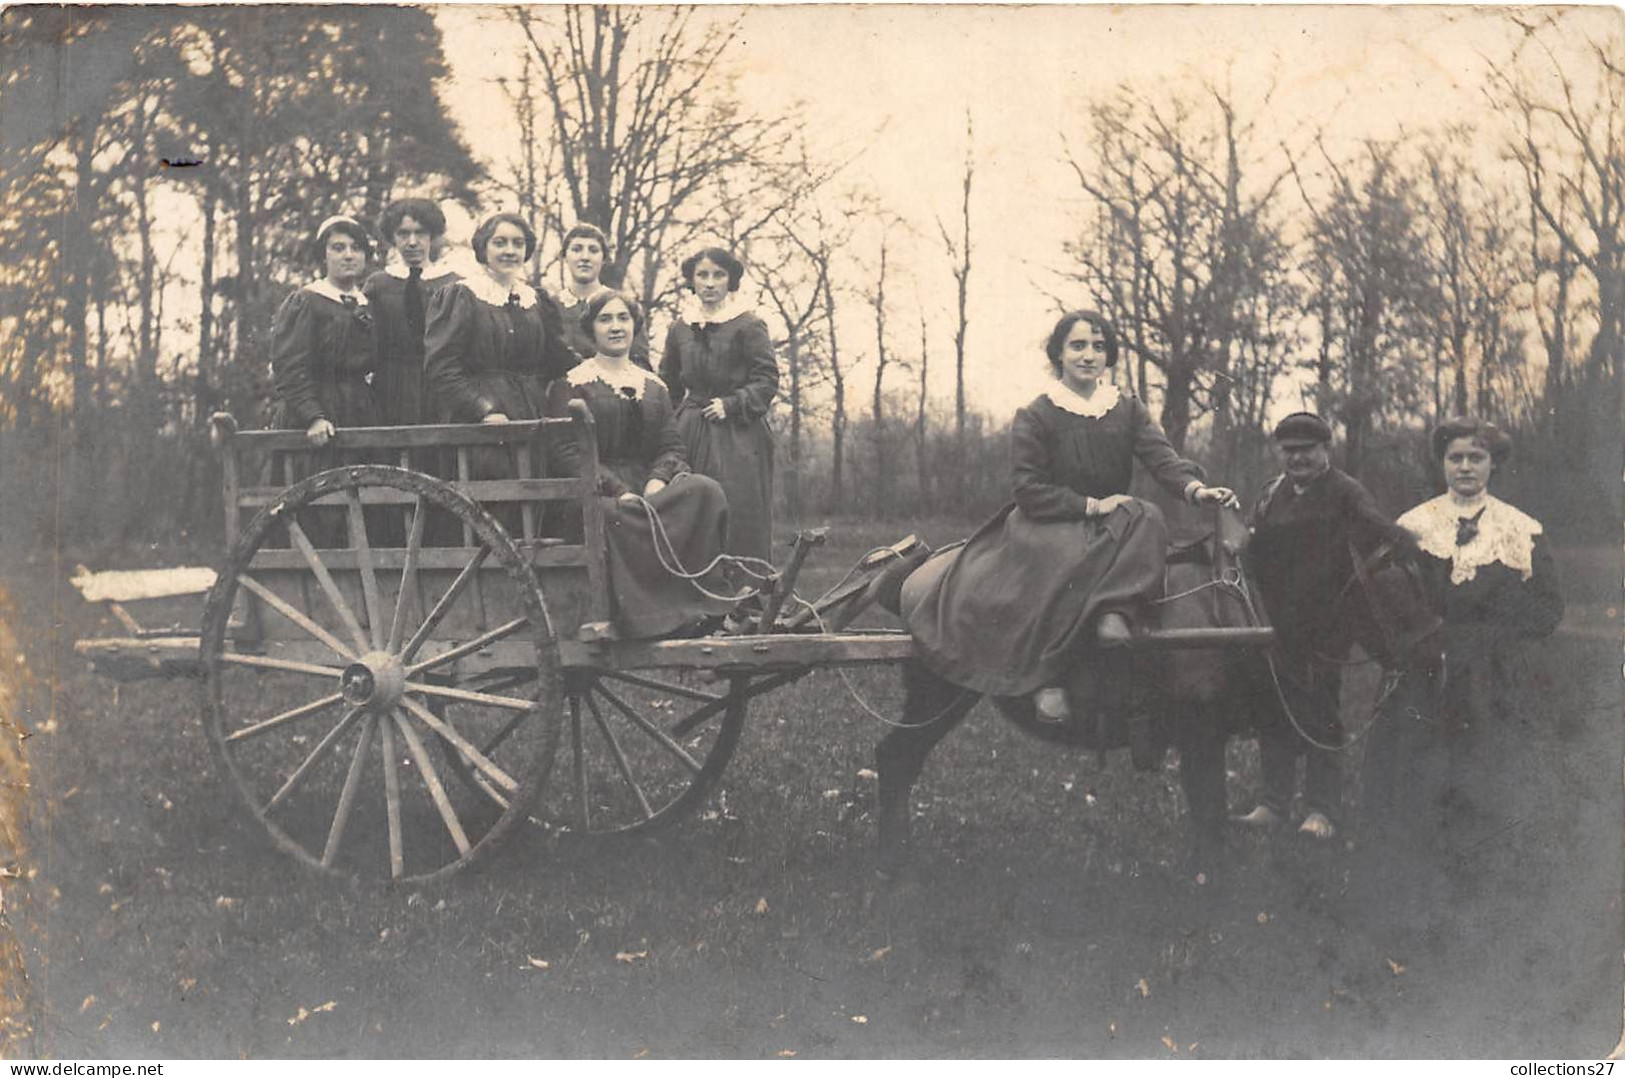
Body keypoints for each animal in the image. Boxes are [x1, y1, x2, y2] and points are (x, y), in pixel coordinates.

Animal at [877, 507, 1436, 878]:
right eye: (1398, 583)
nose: (1436, 659)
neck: (1242, 606)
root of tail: (920, 570)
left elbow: (1210, 812)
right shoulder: (1200, 734)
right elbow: (1209, 812)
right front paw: (1209, 884)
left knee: (897, 760)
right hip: (940, 694)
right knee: (896, 759)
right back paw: (894, 862)